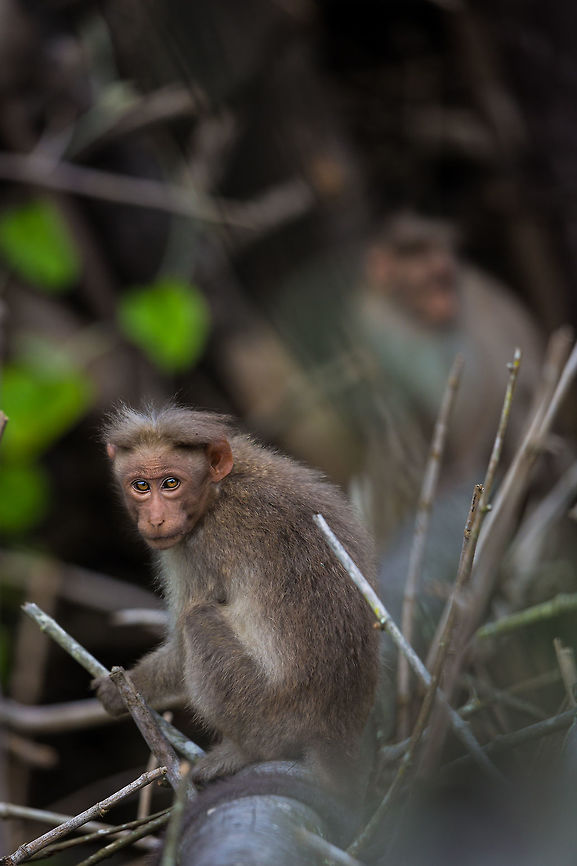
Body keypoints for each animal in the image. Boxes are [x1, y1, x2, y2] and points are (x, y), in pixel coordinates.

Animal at [93, 405, 379, 788]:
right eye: (141, 485)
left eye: (171, 483)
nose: (156, 518)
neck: (218, 492)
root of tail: (334, 736)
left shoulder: (198, 549)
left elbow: (181, 649)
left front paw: (126, 687)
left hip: (265, 715)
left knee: (197, 621)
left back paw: (245, 754)